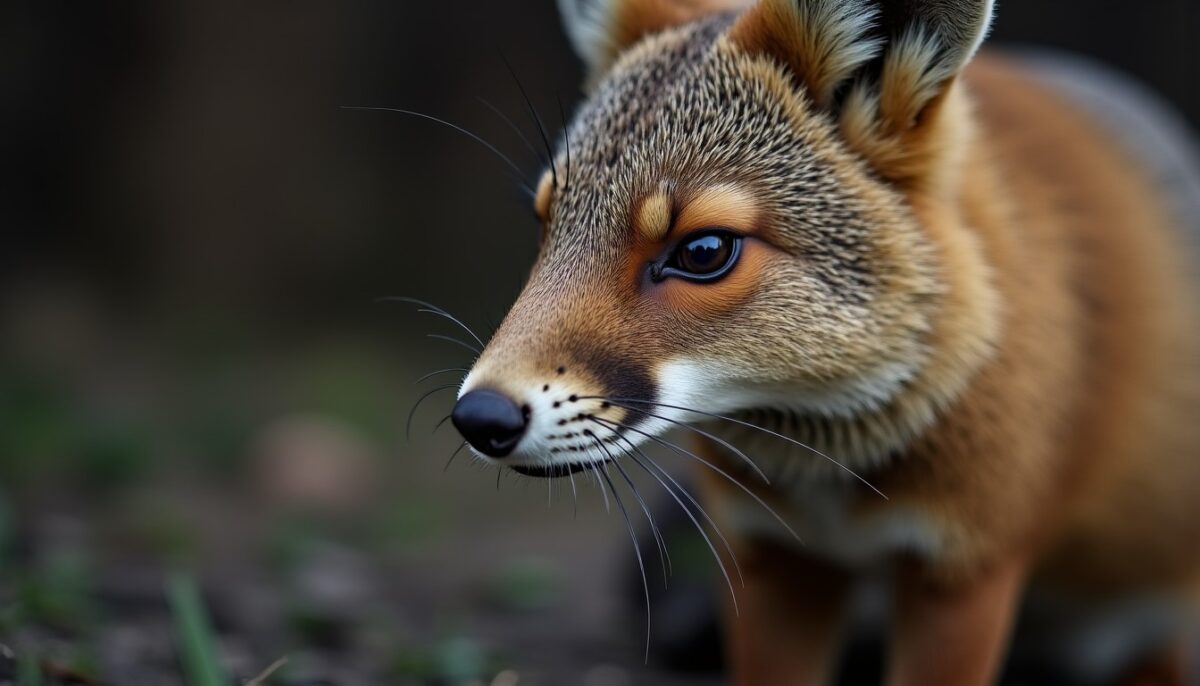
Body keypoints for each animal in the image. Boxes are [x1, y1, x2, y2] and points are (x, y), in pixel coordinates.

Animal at [429, 0, 1200, 683]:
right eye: (546, 225)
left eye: (703, 251)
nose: (479, 418)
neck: (833, 490)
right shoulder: (773, 562)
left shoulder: (962, 575)